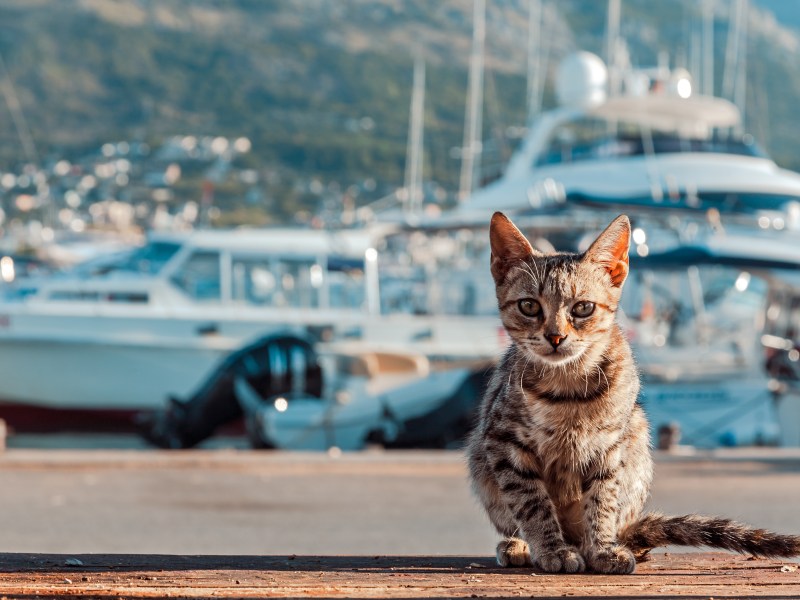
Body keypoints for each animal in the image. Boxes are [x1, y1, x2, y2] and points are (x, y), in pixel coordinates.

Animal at [466, 211, 800, 572]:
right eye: (529, 306)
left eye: (582, 308)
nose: (555, 336)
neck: (567, 387)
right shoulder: (502, 441)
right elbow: (531, 502)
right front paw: (552, 549)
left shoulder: (610, 445)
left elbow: (602, 499)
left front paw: (601, 548)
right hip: (480, 461)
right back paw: (521, 544)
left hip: (638, 435)